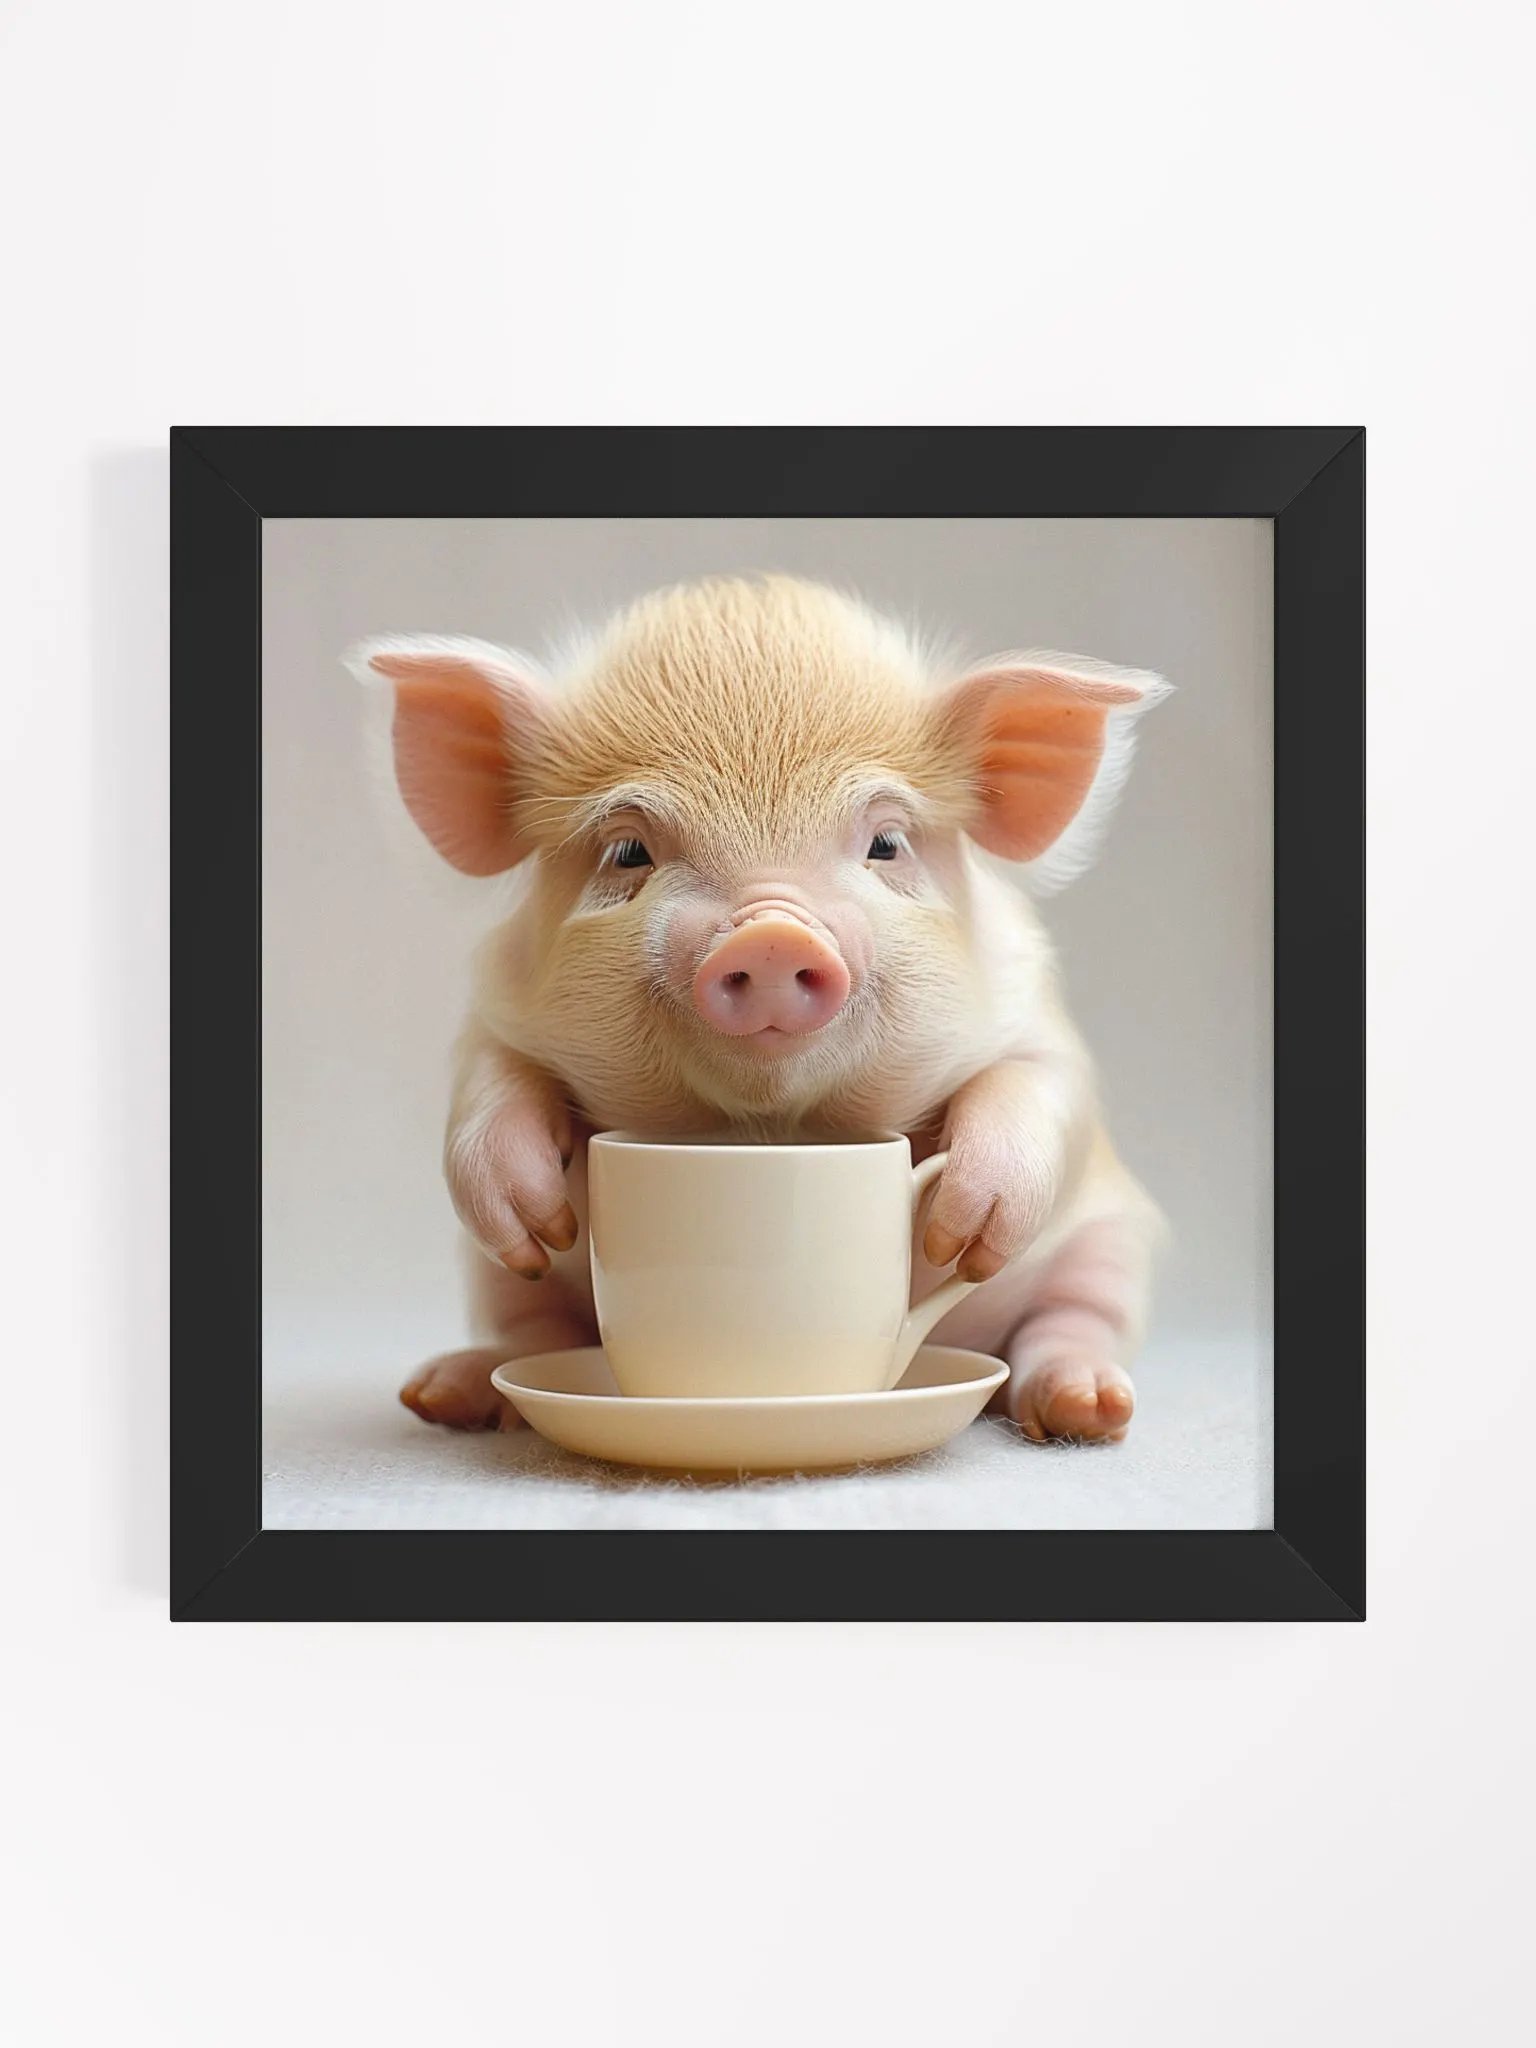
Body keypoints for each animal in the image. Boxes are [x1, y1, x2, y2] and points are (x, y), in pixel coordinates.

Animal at [350, 575, 1168, 1442]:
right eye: (628, 853)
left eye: (886, 844)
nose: (771, 933)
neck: (770, 1129)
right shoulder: (497, 1011)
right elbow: (489, 1087)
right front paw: (540, 1224)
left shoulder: (1030, 1011)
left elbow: (1039, 1087)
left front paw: (959, 1234)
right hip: (496, 1288)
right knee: (525, 1331)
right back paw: (444, 1394)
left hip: (1111, 1245)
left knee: (1074, 1321)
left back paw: (1087, 1406)